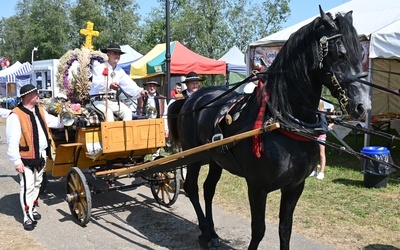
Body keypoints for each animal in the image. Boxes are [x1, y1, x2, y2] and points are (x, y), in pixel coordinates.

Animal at [167, 6, 370, 250]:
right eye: (340, 54)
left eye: (361, 53)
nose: (362, 105)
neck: (282, 123)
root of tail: (191, 98)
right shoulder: (257, 186)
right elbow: (259, 230)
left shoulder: (295, 186)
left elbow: (285, 229)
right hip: (194, 157)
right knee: (192, 188)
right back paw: (205, 232)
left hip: (215, 159)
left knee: (208, 190)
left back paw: (213, 232)